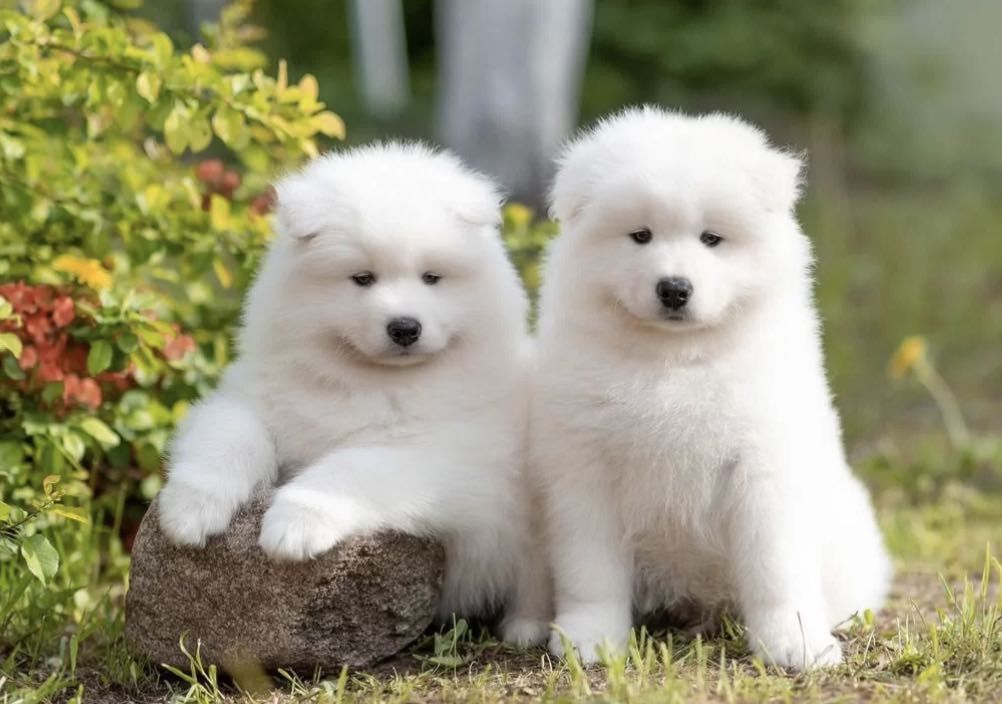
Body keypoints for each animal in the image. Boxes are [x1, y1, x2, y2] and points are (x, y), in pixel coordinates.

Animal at [156, 143, 549, 644]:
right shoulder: (255, 397)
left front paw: (294, 523)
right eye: (363, 278)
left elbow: (349, 468)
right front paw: (190, 509)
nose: (405, 327)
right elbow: (228, 435)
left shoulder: (447, 458)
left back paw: (525, 628)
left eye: (431, 278)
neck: (372, 382)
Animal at [533, 107, 893, 668]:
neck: (675, 359)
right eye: (640, 236)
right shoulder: (584, 466)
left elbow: (775, 566)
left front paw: (794, 643)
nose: (674, 288)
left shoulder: (763, 463)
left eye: (711, 239)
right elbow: (589, 568)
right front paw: (589, 638)